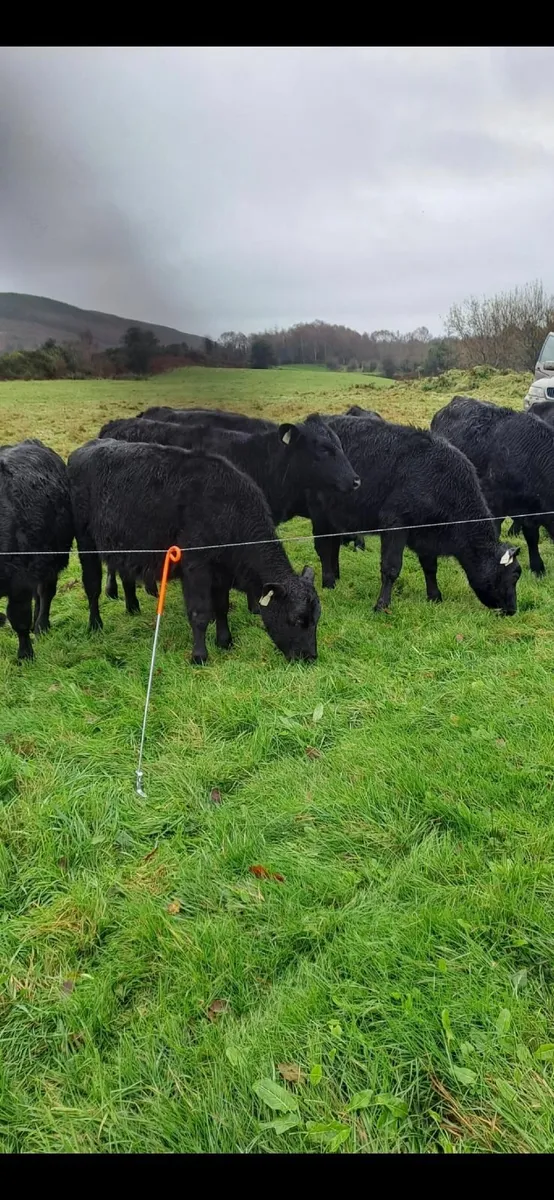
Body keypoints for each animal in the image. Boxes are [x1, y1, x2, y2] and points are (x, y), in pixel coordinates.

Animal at [0, 439, 74, 660]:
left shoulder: (19, 582)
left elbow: (18, 619)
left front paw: (25, 655)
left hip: (54, 558)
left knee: (46, 592)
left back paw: (41, 626)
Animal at [67, 438, 321, 665]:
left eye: (316, 619)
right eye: (296, 620)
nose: (310, 657)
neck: (226, 508)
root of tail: (85, 448)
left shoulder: (221, 572)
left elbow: (221, 607)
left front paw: (225, 641)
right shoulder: (195, 567)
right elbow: (200, 613)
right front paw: (199, 655)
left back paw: (132, 607)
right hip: (86, 541)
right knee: (92, 585)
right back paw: (95, 624)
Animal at [305, 416, 521, 614]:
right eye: (514, 576)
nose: (512, 609)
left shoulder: (426, 534)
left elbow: (430, 566)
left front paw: (435, 596)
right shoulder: (395, 523)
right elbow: (391, 568)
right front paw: (382, 605)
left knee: (333, 546)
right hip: (320, 515)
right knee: (323, 548)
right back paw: (329, 582)